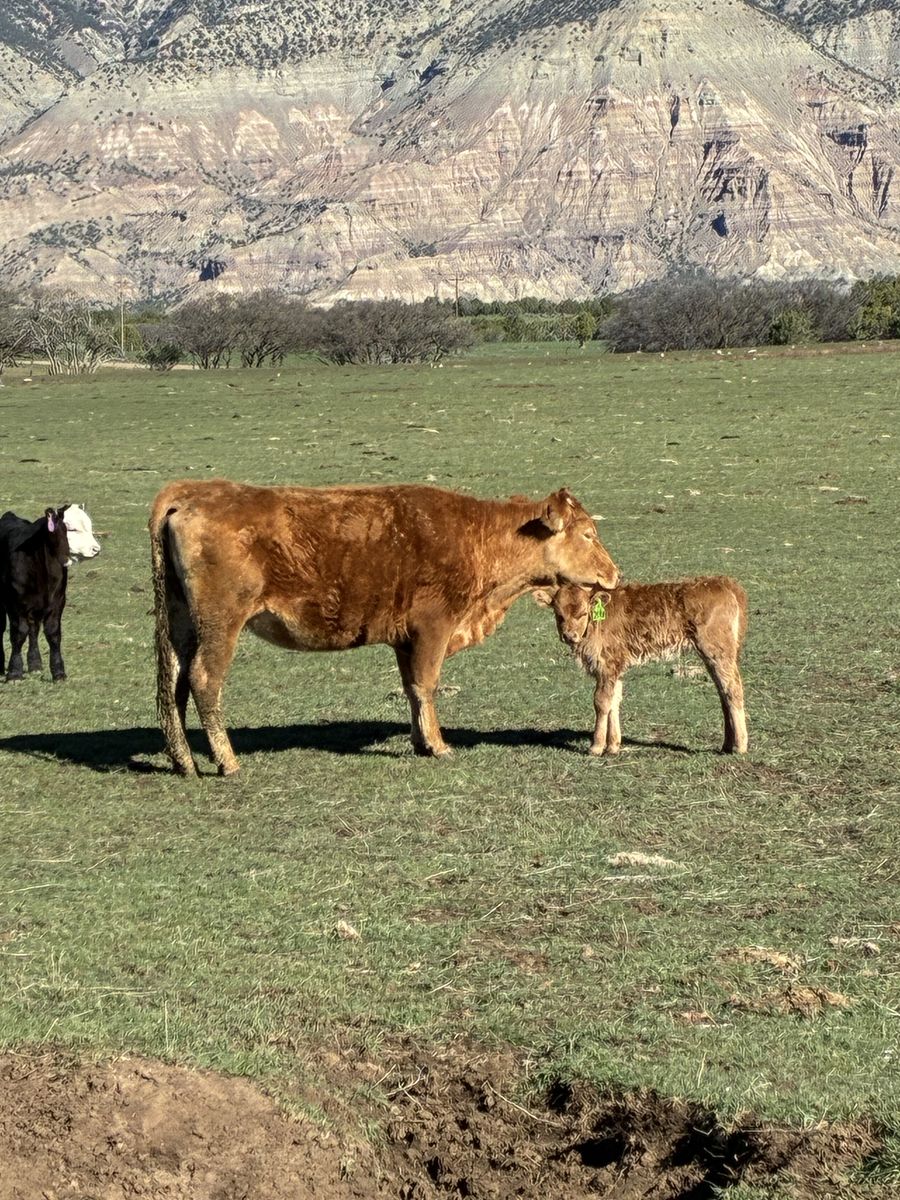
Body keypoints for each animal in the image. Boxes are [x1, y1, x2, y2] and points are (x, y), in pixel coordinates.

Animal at [0, 504, 101, 682]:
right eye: (71, 528)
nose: (96, 549)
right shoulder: (15, 604)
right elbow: (18, 634)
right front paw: (14, 673)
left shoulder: (57, 602)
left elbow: (53, 633)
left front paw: (58, 672)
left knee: (33, 630)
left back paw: (35, 664)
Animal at [149, 479, 620, 776]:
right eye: (587, 534)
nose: (613, 574)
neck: (477, 537)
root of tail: (192, 492)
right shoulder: (433, 627)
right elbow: (427, 684)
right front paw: (439, 746)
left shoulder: (404, 640)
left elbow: (411, 688)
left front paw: (419, 741)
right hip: (220, 625)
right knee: (204, 680)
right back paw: (227, 762)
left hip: (181, 623)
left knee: (172, 683)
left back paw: (183, 762)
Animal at [535, 576, 749, 755]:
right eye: (558, 614)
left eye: (583, 613)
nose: (569, 636)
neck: (597, 622)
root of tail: (722, 582)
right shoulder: (617, 665)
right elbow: (614, 701)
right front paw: (613, 746)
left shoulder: (606, 665)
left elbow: (601, 702)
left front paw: (596, 747)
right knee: (723, 694)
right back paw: (727, 744)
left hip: (718, 651)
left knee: (733, 689)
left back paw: (740, 746)